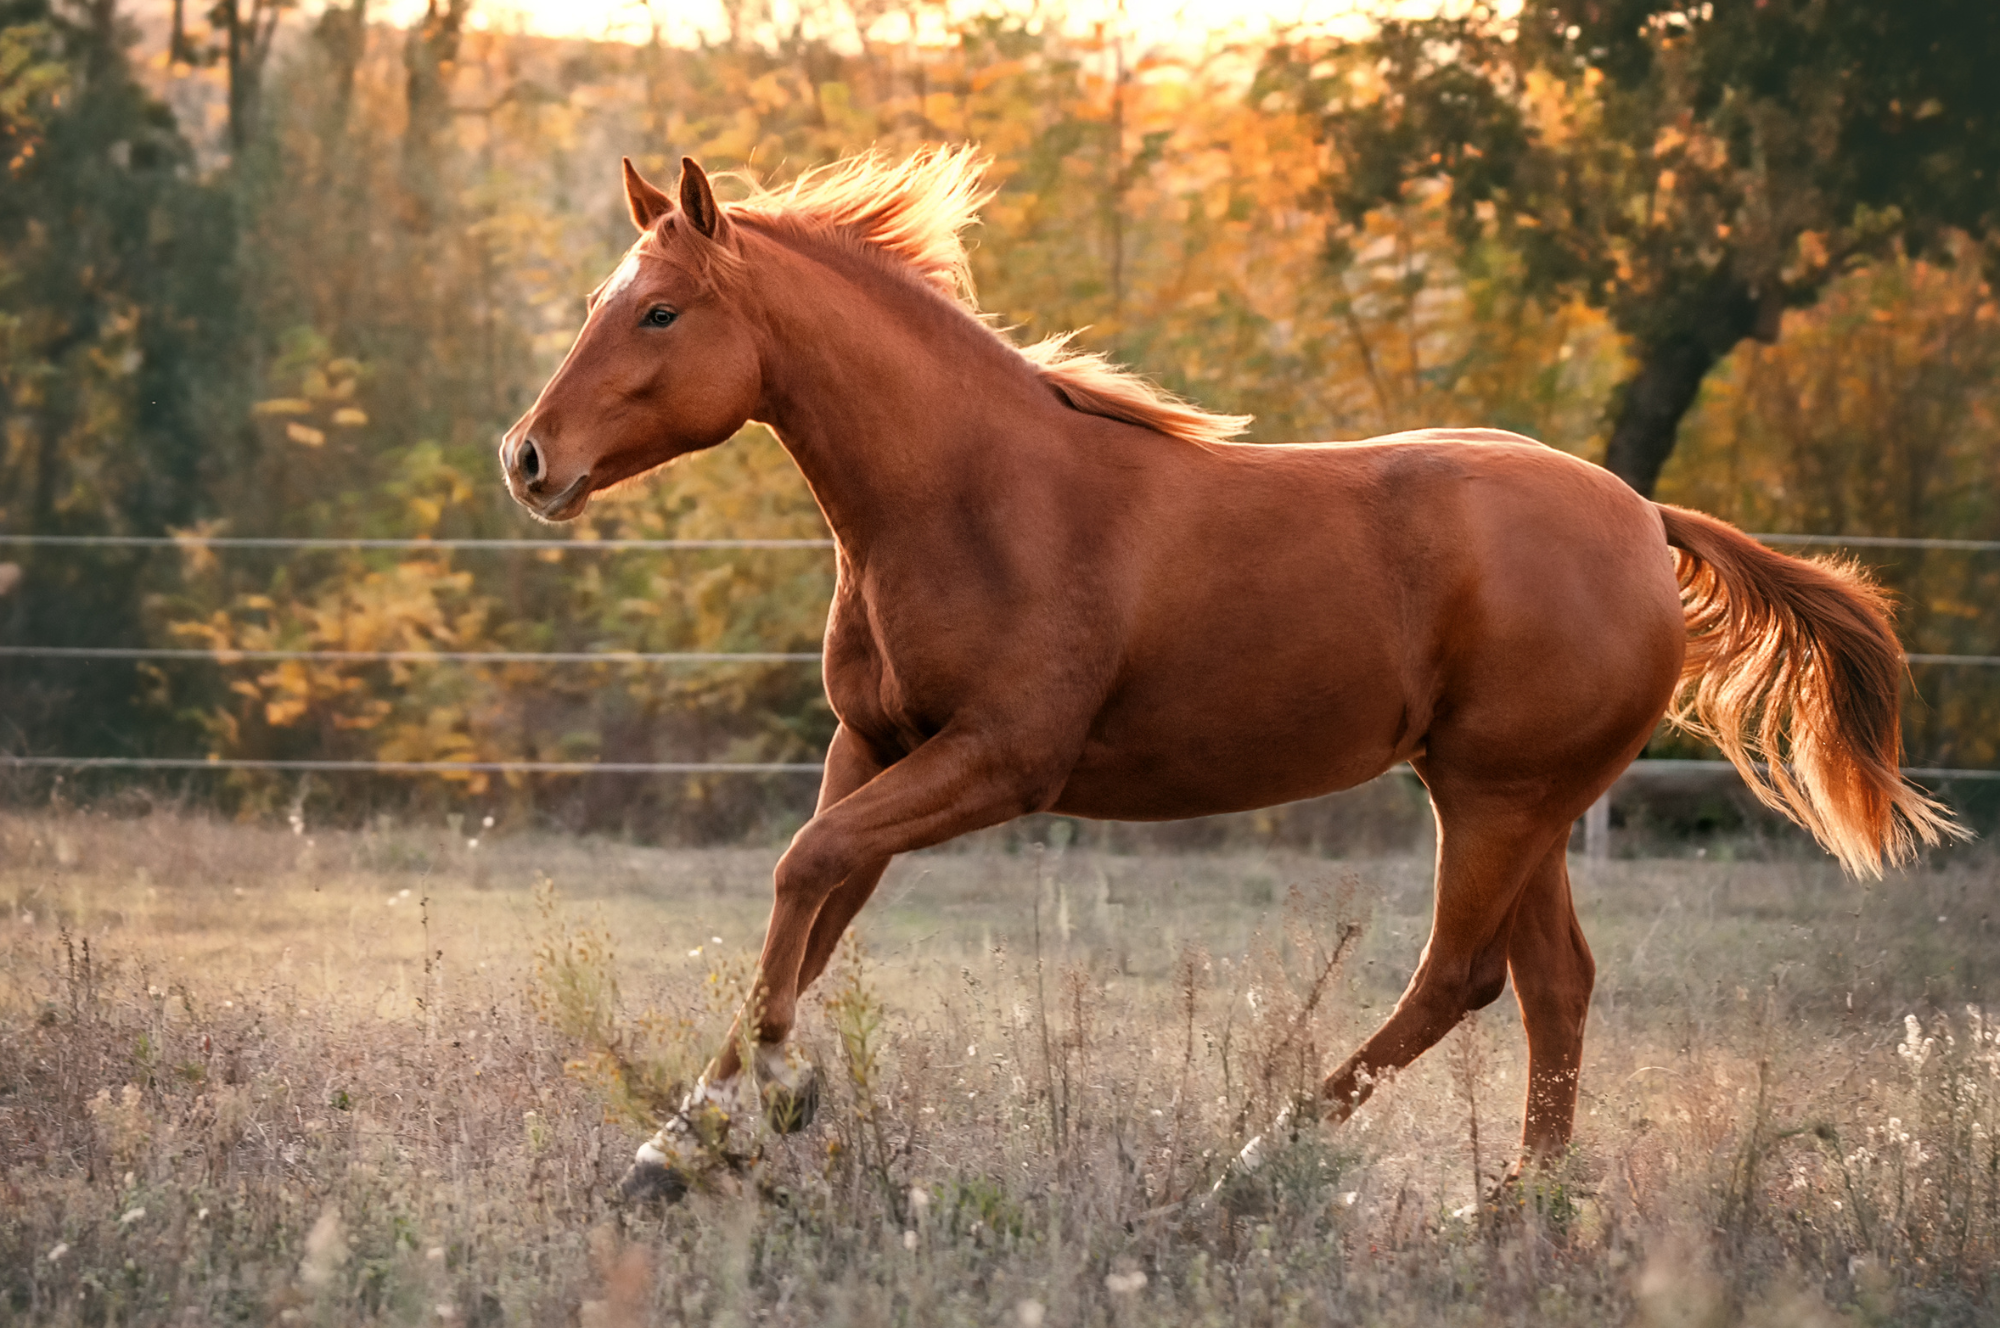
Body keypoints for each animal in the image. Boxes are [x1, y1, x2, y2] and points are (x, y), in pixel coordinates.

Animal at [498, 146, 1958, 1200]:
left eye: (661, 310)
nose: (528, 458)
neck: (971, 498)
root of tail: (1646, 522)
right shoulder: (874, 745)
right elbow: (811, 902)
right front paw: (677, 1148)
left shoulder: (1002, 762)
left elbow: (806, 872)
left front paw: (763, 1107)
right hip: (1518, 801)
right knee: (1552, 987)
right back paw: (1514, 1216)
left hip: (1497, 797)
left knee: (1458, 979)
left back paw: (1246, 1174)